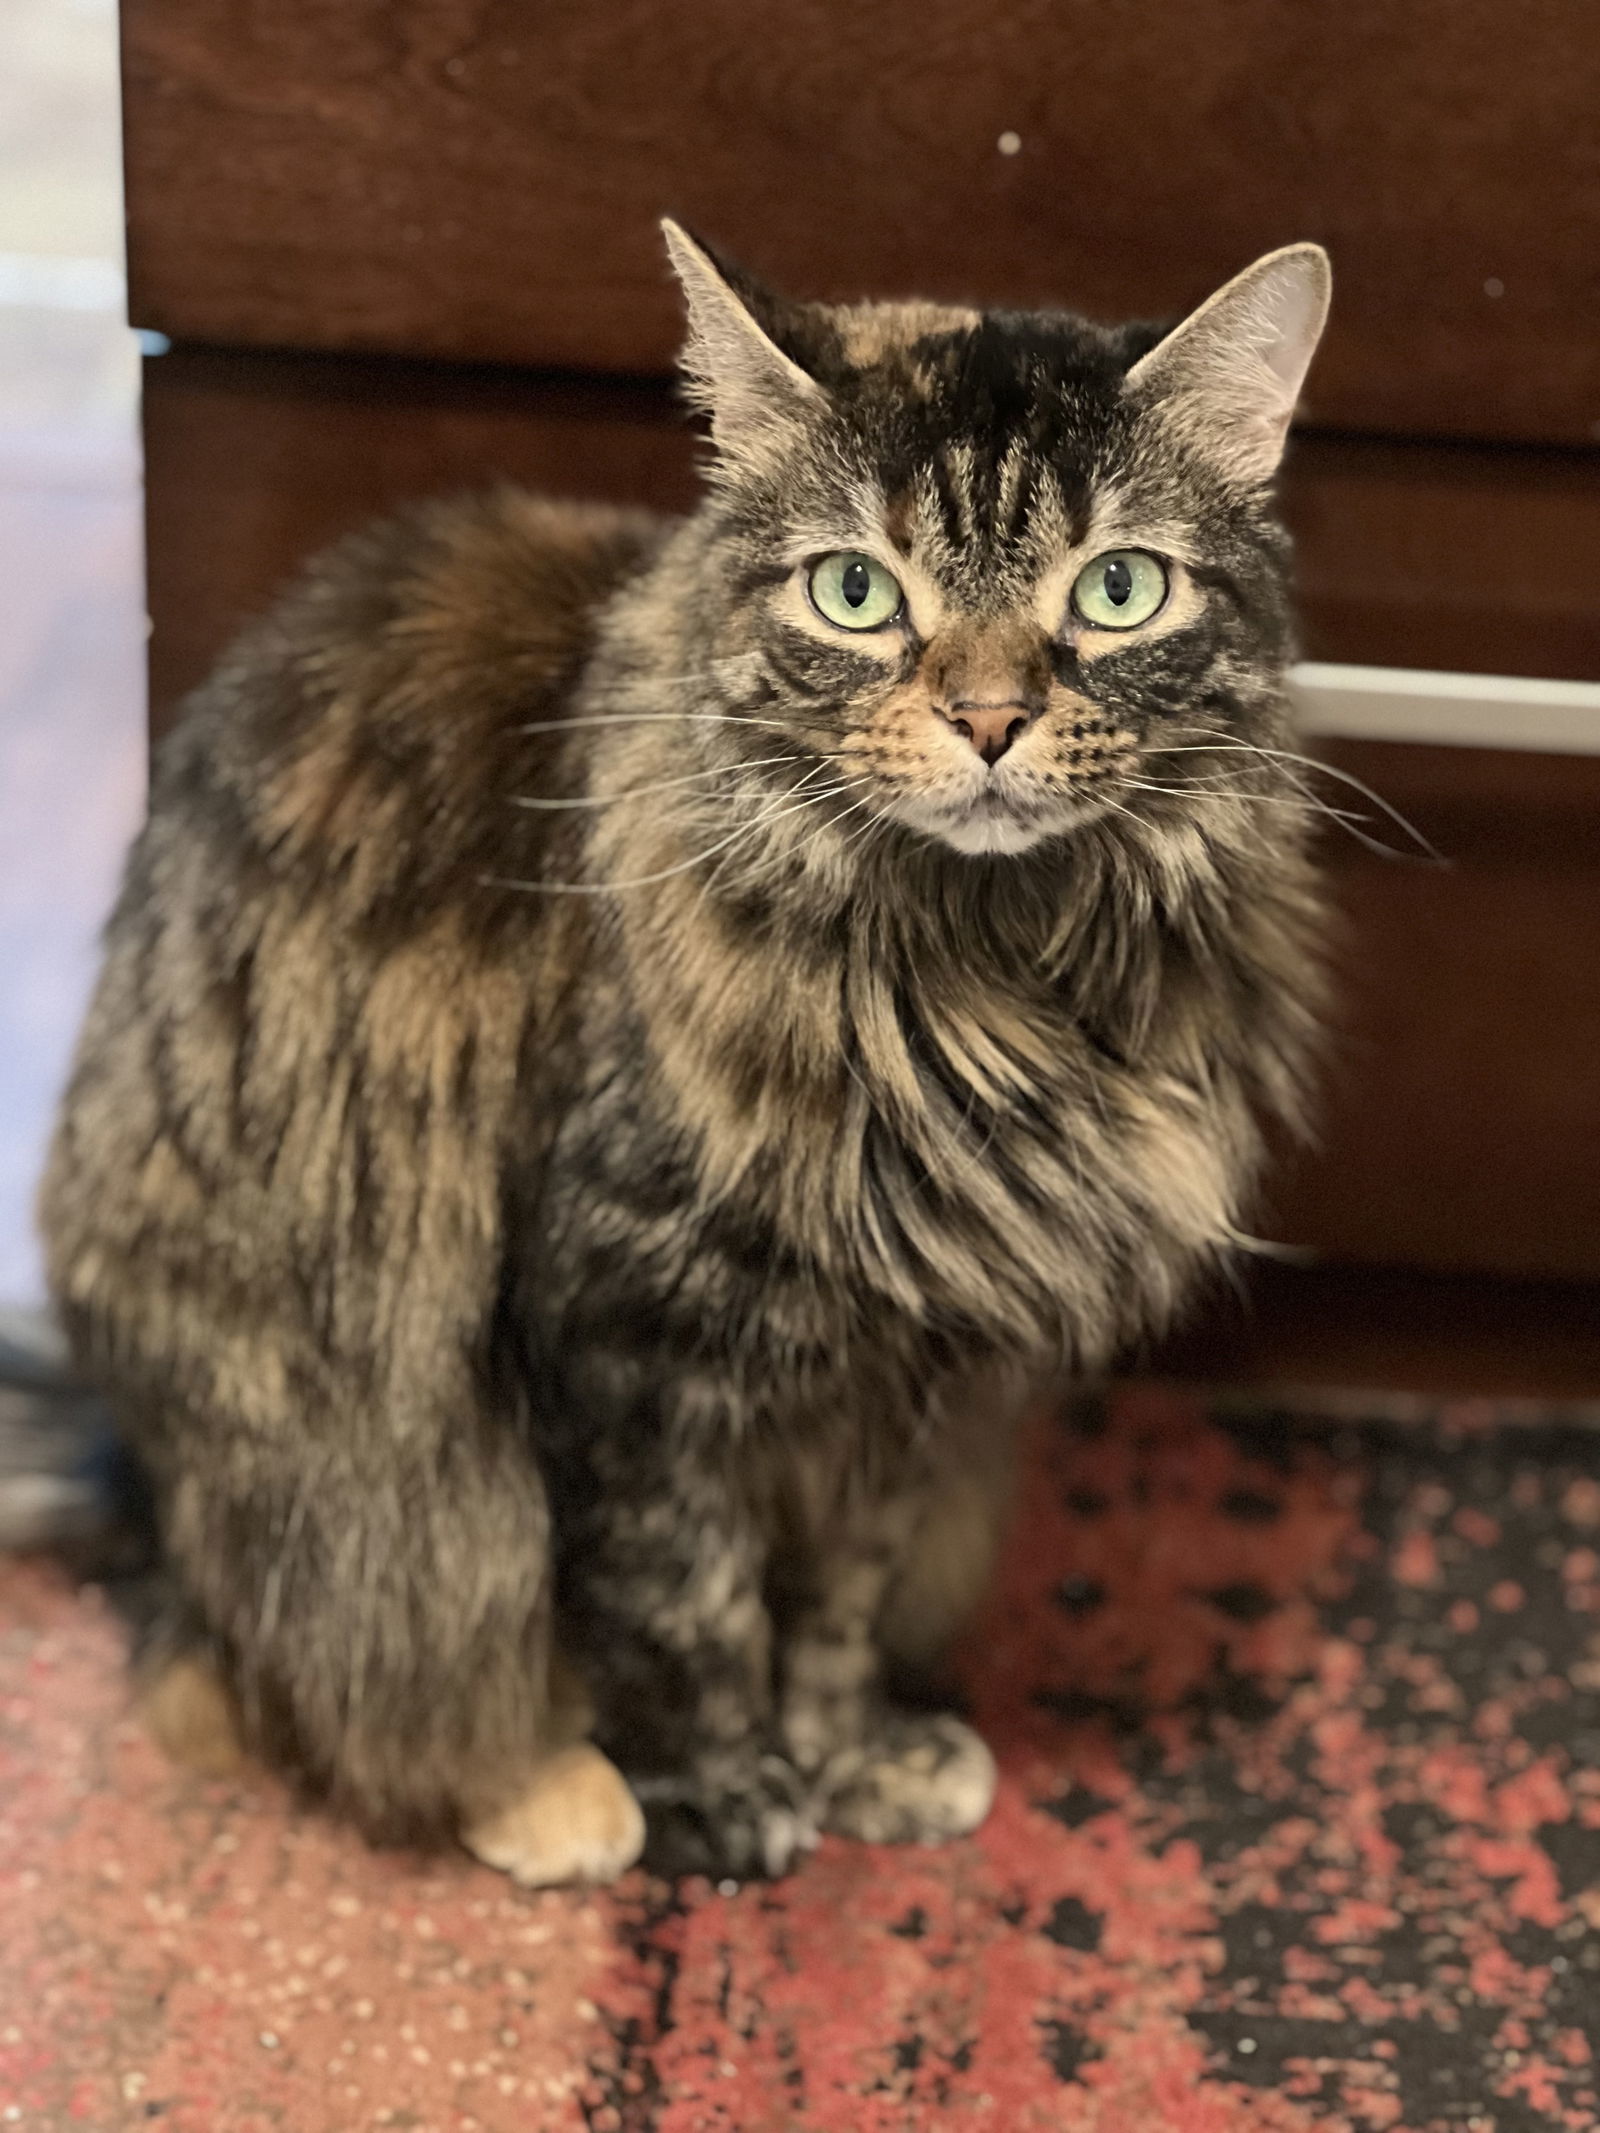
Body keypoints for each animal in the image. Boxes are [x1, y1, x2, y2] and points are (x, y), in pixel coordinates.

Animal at [40, 216, 1339, 1885]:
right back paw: (554, 1797)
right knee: (267, 1670)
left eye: (1118, 590)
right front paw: (725, 1793)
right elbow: (682, 1602)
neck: (988, 977)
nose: (989, 718)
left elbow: (836, 1605)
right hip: (346, 1462)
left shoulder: (905, 1372)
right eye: (855, 592)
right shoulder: (625, 1338)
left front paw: (843, 1758)